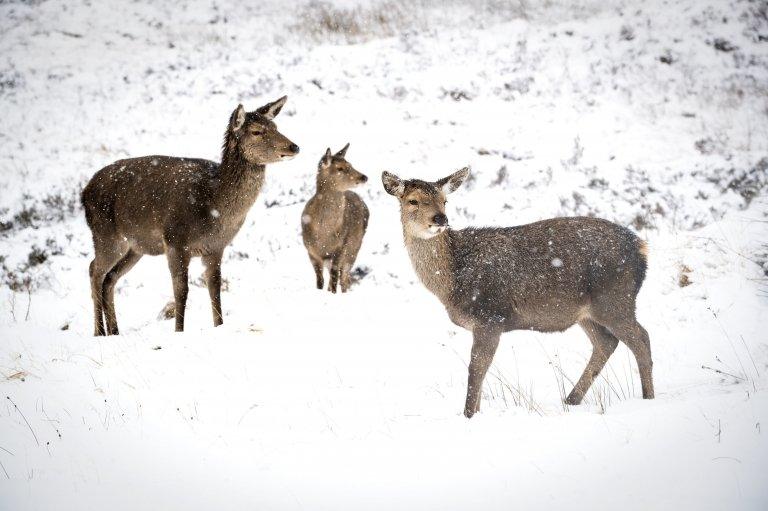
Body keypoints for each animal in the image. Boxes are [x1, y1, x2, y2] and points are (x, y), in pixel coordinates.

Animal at [82, 97, 300, 336]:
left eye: (276, 127)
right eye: (256, 131)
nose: (294, 146)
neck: (214, 207)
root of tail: (84, 192)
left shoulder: (216, 247)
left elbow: (214, 288)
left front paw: (219, 326)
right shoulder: (175, 241)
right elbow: (182, 291)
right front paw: (179, 331)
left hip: (135, 247)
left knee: (110, 278)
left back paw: (114, 331)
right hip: (106, 235)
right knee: (94, 270)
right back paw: (99, 332)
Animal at [300, 144, 368, 294]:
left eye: (350, 164)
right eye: (340, 168)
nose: (364, 177)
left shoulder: (340, 247)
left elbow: (334, 276)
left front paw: (332, 293)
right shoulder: (311, 251)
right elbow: (320, 280)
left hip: (354, 249)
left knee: (344, 278)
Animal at [380, 170, 652, 418]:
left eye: (445, 200)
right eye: (413, 200)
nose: (440, 218)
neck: (452, 281)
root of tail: (642, 248)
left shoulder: (490, 316)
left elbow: (476, 369)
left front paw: (468, 415)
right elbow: (481, 370)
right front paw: (476, 413)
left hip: (615, 299)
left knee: (641, 339)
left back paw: (648, 398)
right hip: (587, 313)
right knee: (607, 343)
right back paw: (570, 400)